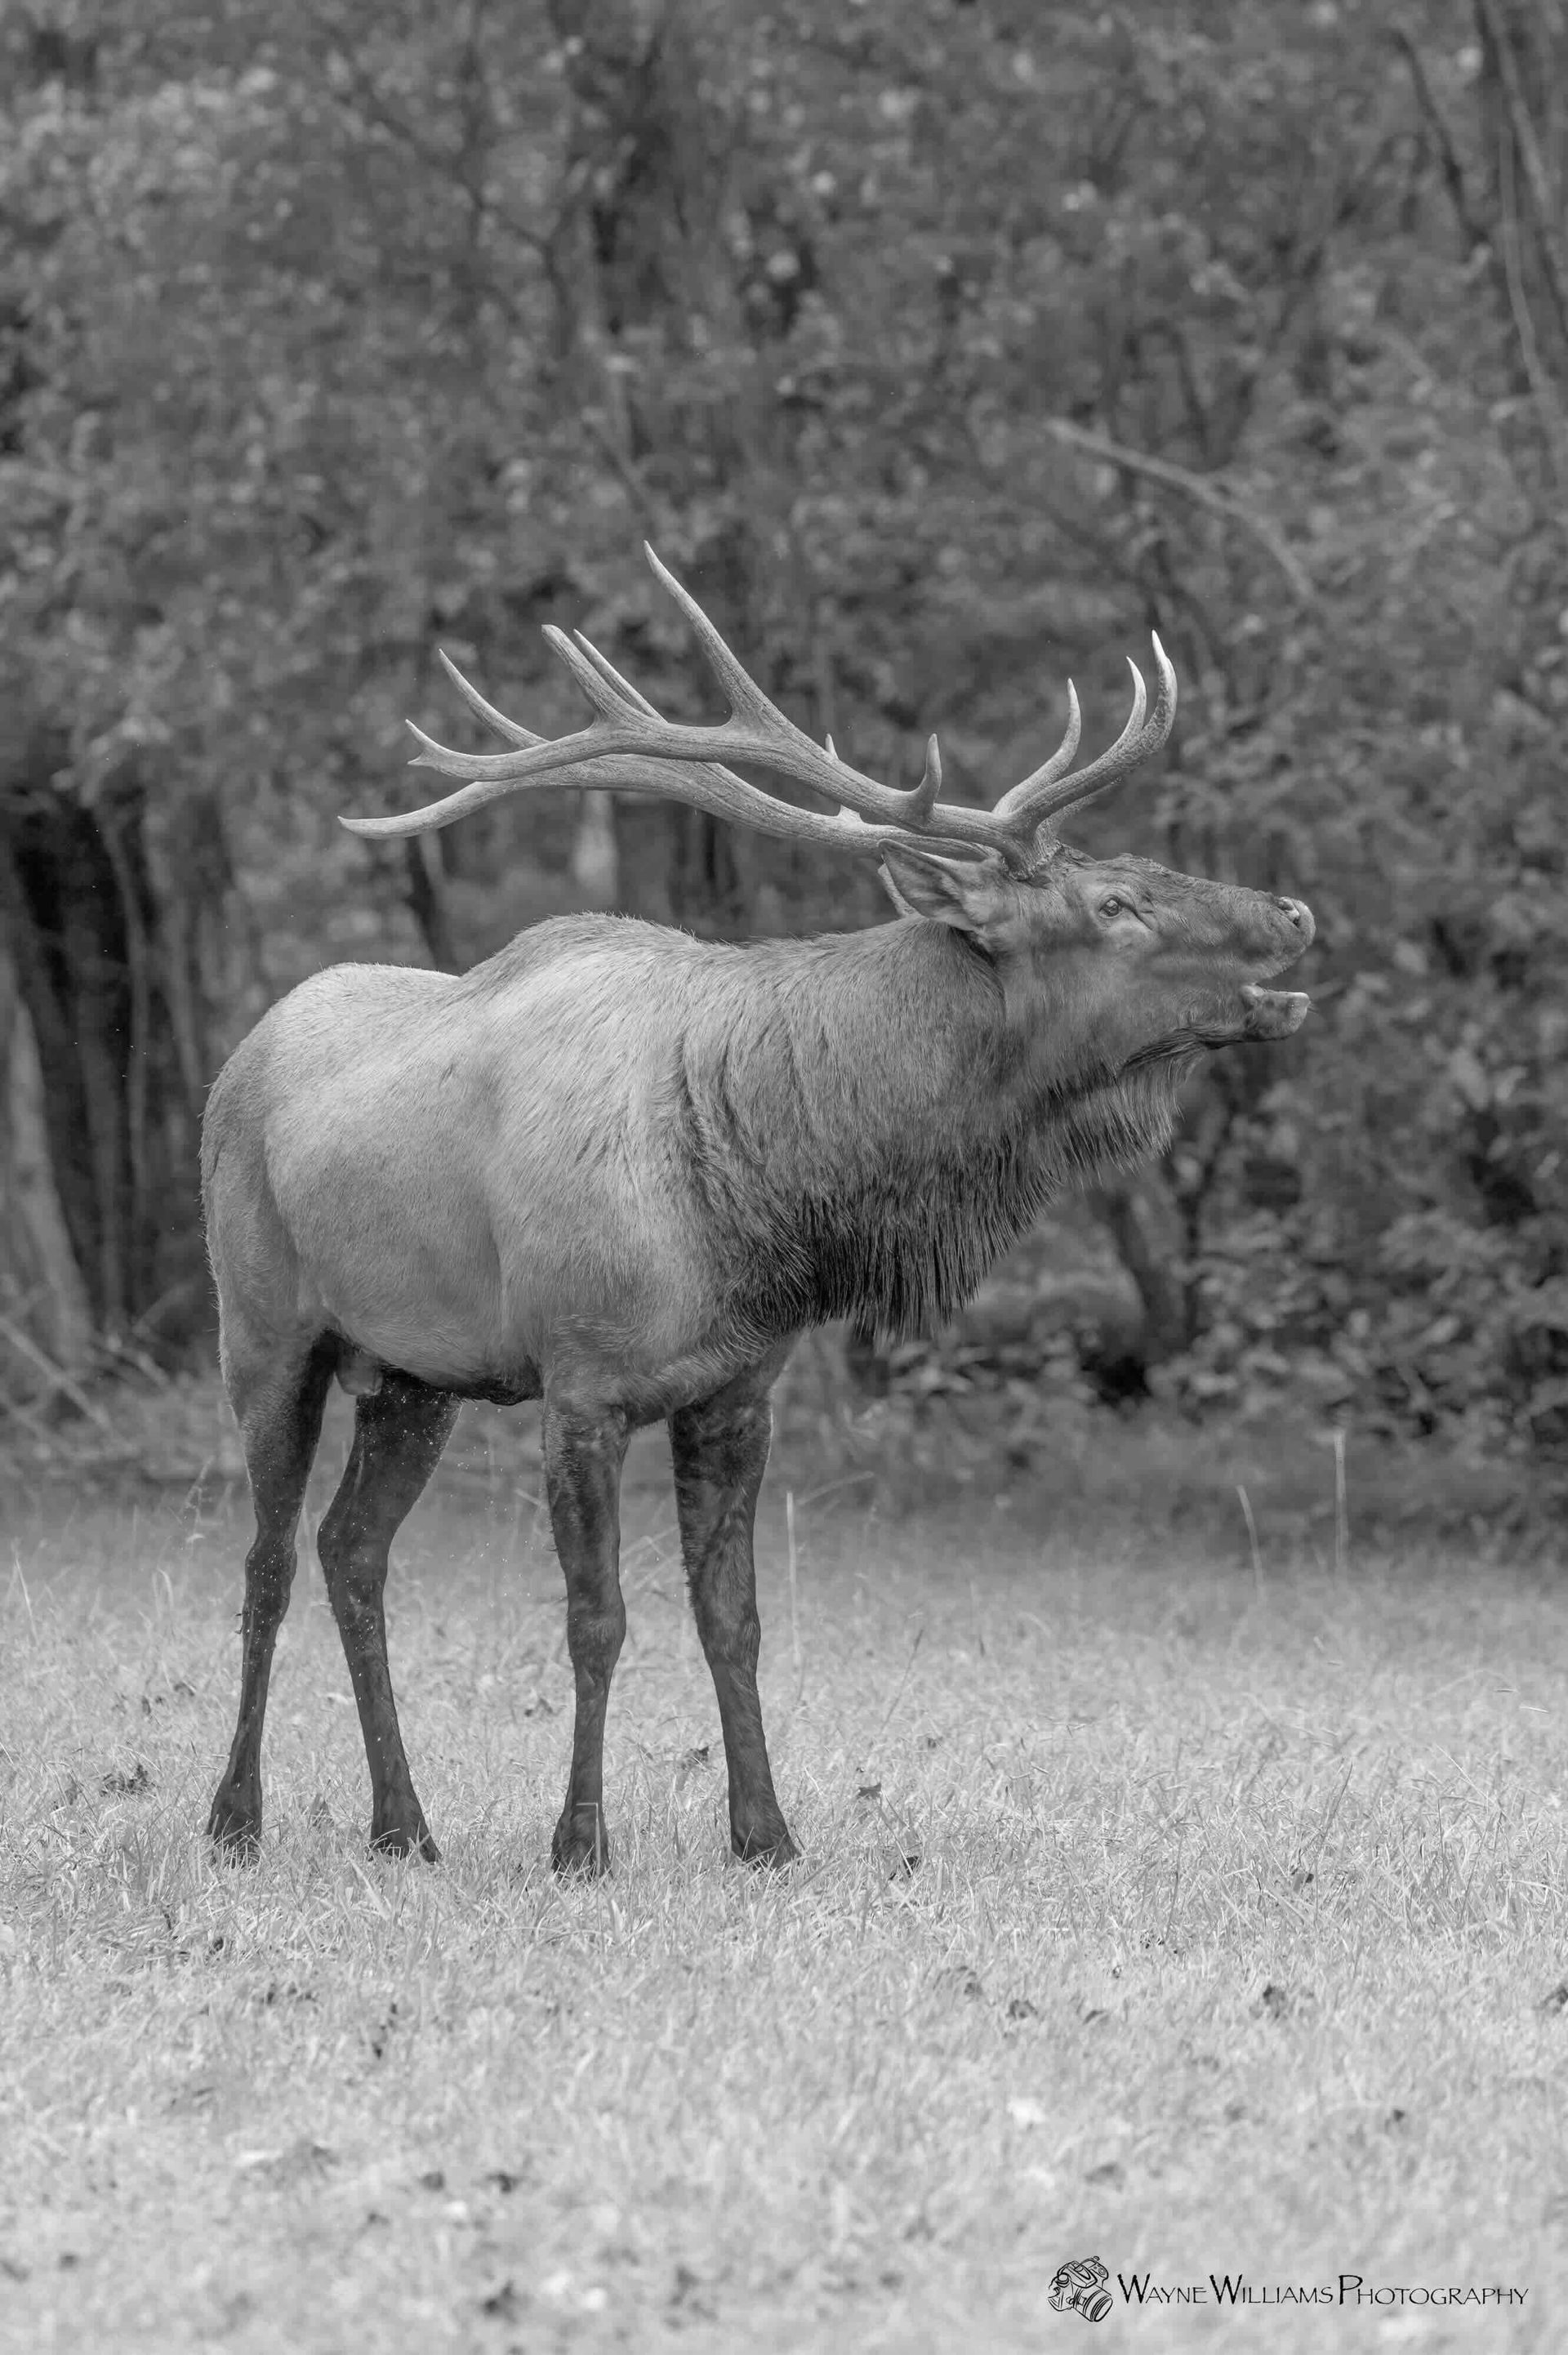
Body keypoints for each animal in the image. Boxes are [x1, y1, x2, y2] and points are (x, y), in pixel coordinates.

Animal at [201, 545, 1313, 1876]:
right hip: (265, 1330)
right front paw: (581, 1843)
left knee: (352, 1550)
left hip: (414, 1375)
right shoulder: (580, 1380)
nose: (1296, 912)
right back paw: (236, 1817)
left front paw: (766, 1834)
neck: (765, 1200)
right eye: (1113, 904)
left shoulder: (738, 1388)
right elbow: (597, 1619)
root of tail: (235, 1060)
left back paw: (403, 1825)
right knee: (266, 1559)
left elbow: (733, 1617)